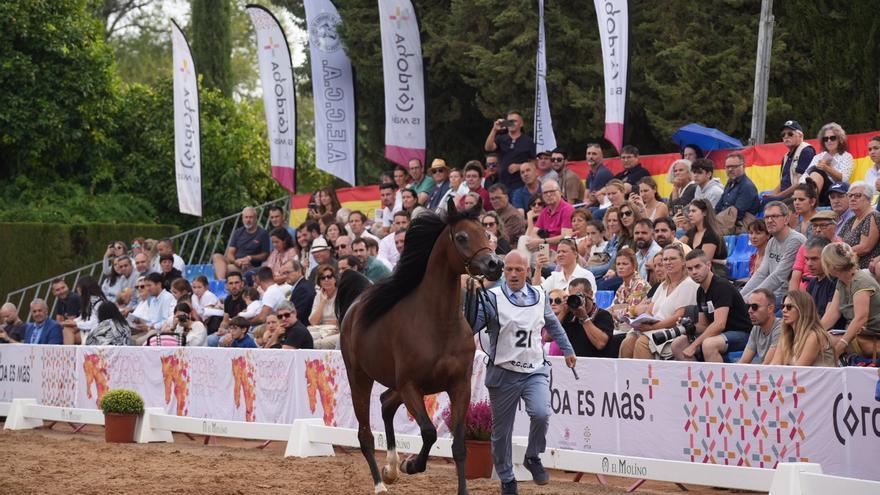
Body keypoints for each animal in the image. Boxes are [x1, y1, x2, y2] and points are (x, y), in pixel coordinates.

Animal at [336, 199, 502, 495]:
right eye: (462, 237)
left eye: (487, 233)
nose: (495, 264)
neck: (438, 323)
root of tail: (355, 304)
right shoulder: (411, 385)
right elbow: (429, 432)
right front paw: (411, 465)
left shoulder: (459, 386)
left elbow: (459, 447)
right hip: (360, 378)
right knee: (365, 434)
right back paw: (381, 483)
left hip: (400, 386)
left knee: (386, 403)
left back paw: (390, 470)